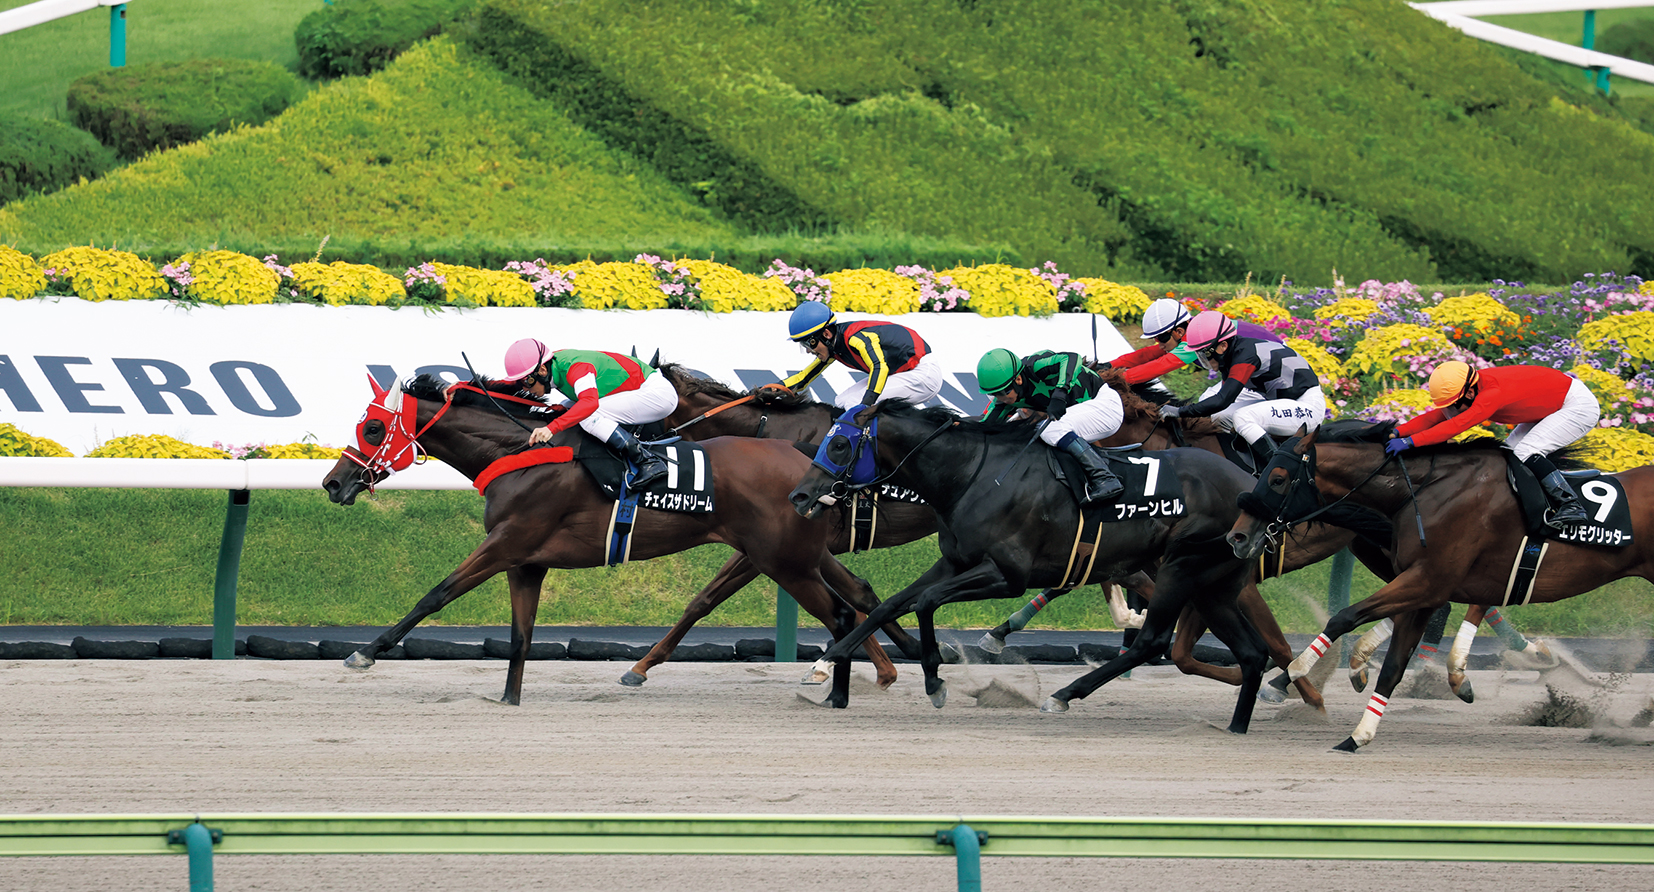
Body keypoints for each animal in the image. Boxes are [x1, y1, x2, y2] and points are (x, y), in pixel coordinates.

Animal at [319, 374, 893, 708]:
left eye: (372, 428)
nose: (333, 483)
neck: (519, 453)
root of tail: (810, 465)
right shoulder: (526, 562)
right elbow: (520, 635)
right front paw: (509, 699)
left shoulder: (506, 543)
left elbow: (435, 594)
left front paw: (364, 654)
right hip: (793, 555)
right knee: (855, 598)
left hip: (783, 561)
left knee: (841, 613)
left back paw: (838, 696)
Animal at [790, 405, 1276, 731]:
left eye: (839, 444)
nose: (799, 495)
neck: (972, 474)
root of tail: (1250, 484)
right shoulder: (955, 561)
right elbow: (888, 605)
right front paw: (826, 660)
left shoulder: (1008, 576)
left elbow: (926, 602)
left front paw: (935, 681)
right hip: (1212, 584)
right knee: (1252, 652)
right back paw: (1237, 725)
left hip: (1180, 567)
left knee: (1152, 640)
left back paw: (1063, 695)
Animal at [1223, 422, 1654, 751]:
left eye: (1277, 478)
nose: (1238, 537)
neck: (1421, 492)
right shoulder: (1424, 586)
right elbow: (1393, 665)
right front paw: (1357, 733)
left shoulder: (1427, 579)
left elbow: (1343, 617)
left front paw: (1294, 672)